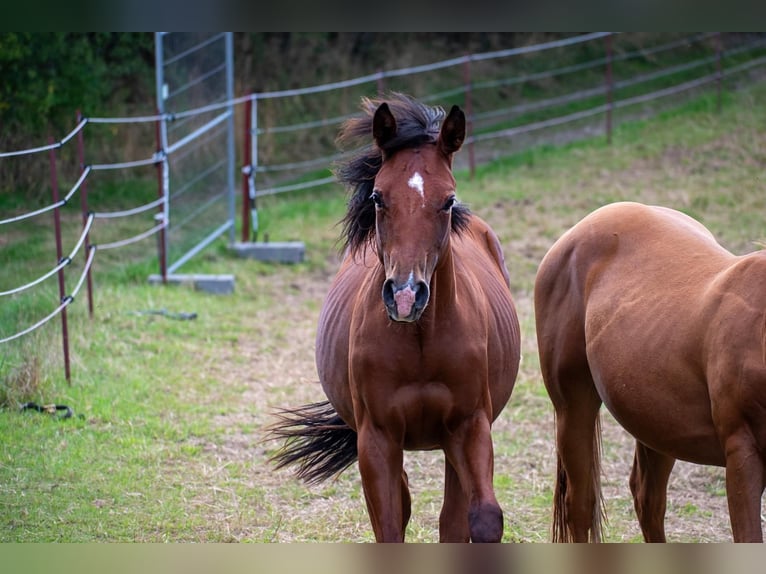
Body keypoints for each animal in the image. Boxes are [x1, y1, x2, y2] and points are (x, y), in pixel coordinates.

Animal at [268, 93, 521, 542]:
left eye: (447, 200)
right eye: (378, 197)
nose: (405, 296)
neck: (420, 343)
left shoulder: (470, 426)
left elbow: (482, 520)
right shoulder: (378, 439)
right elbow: (390, 524)